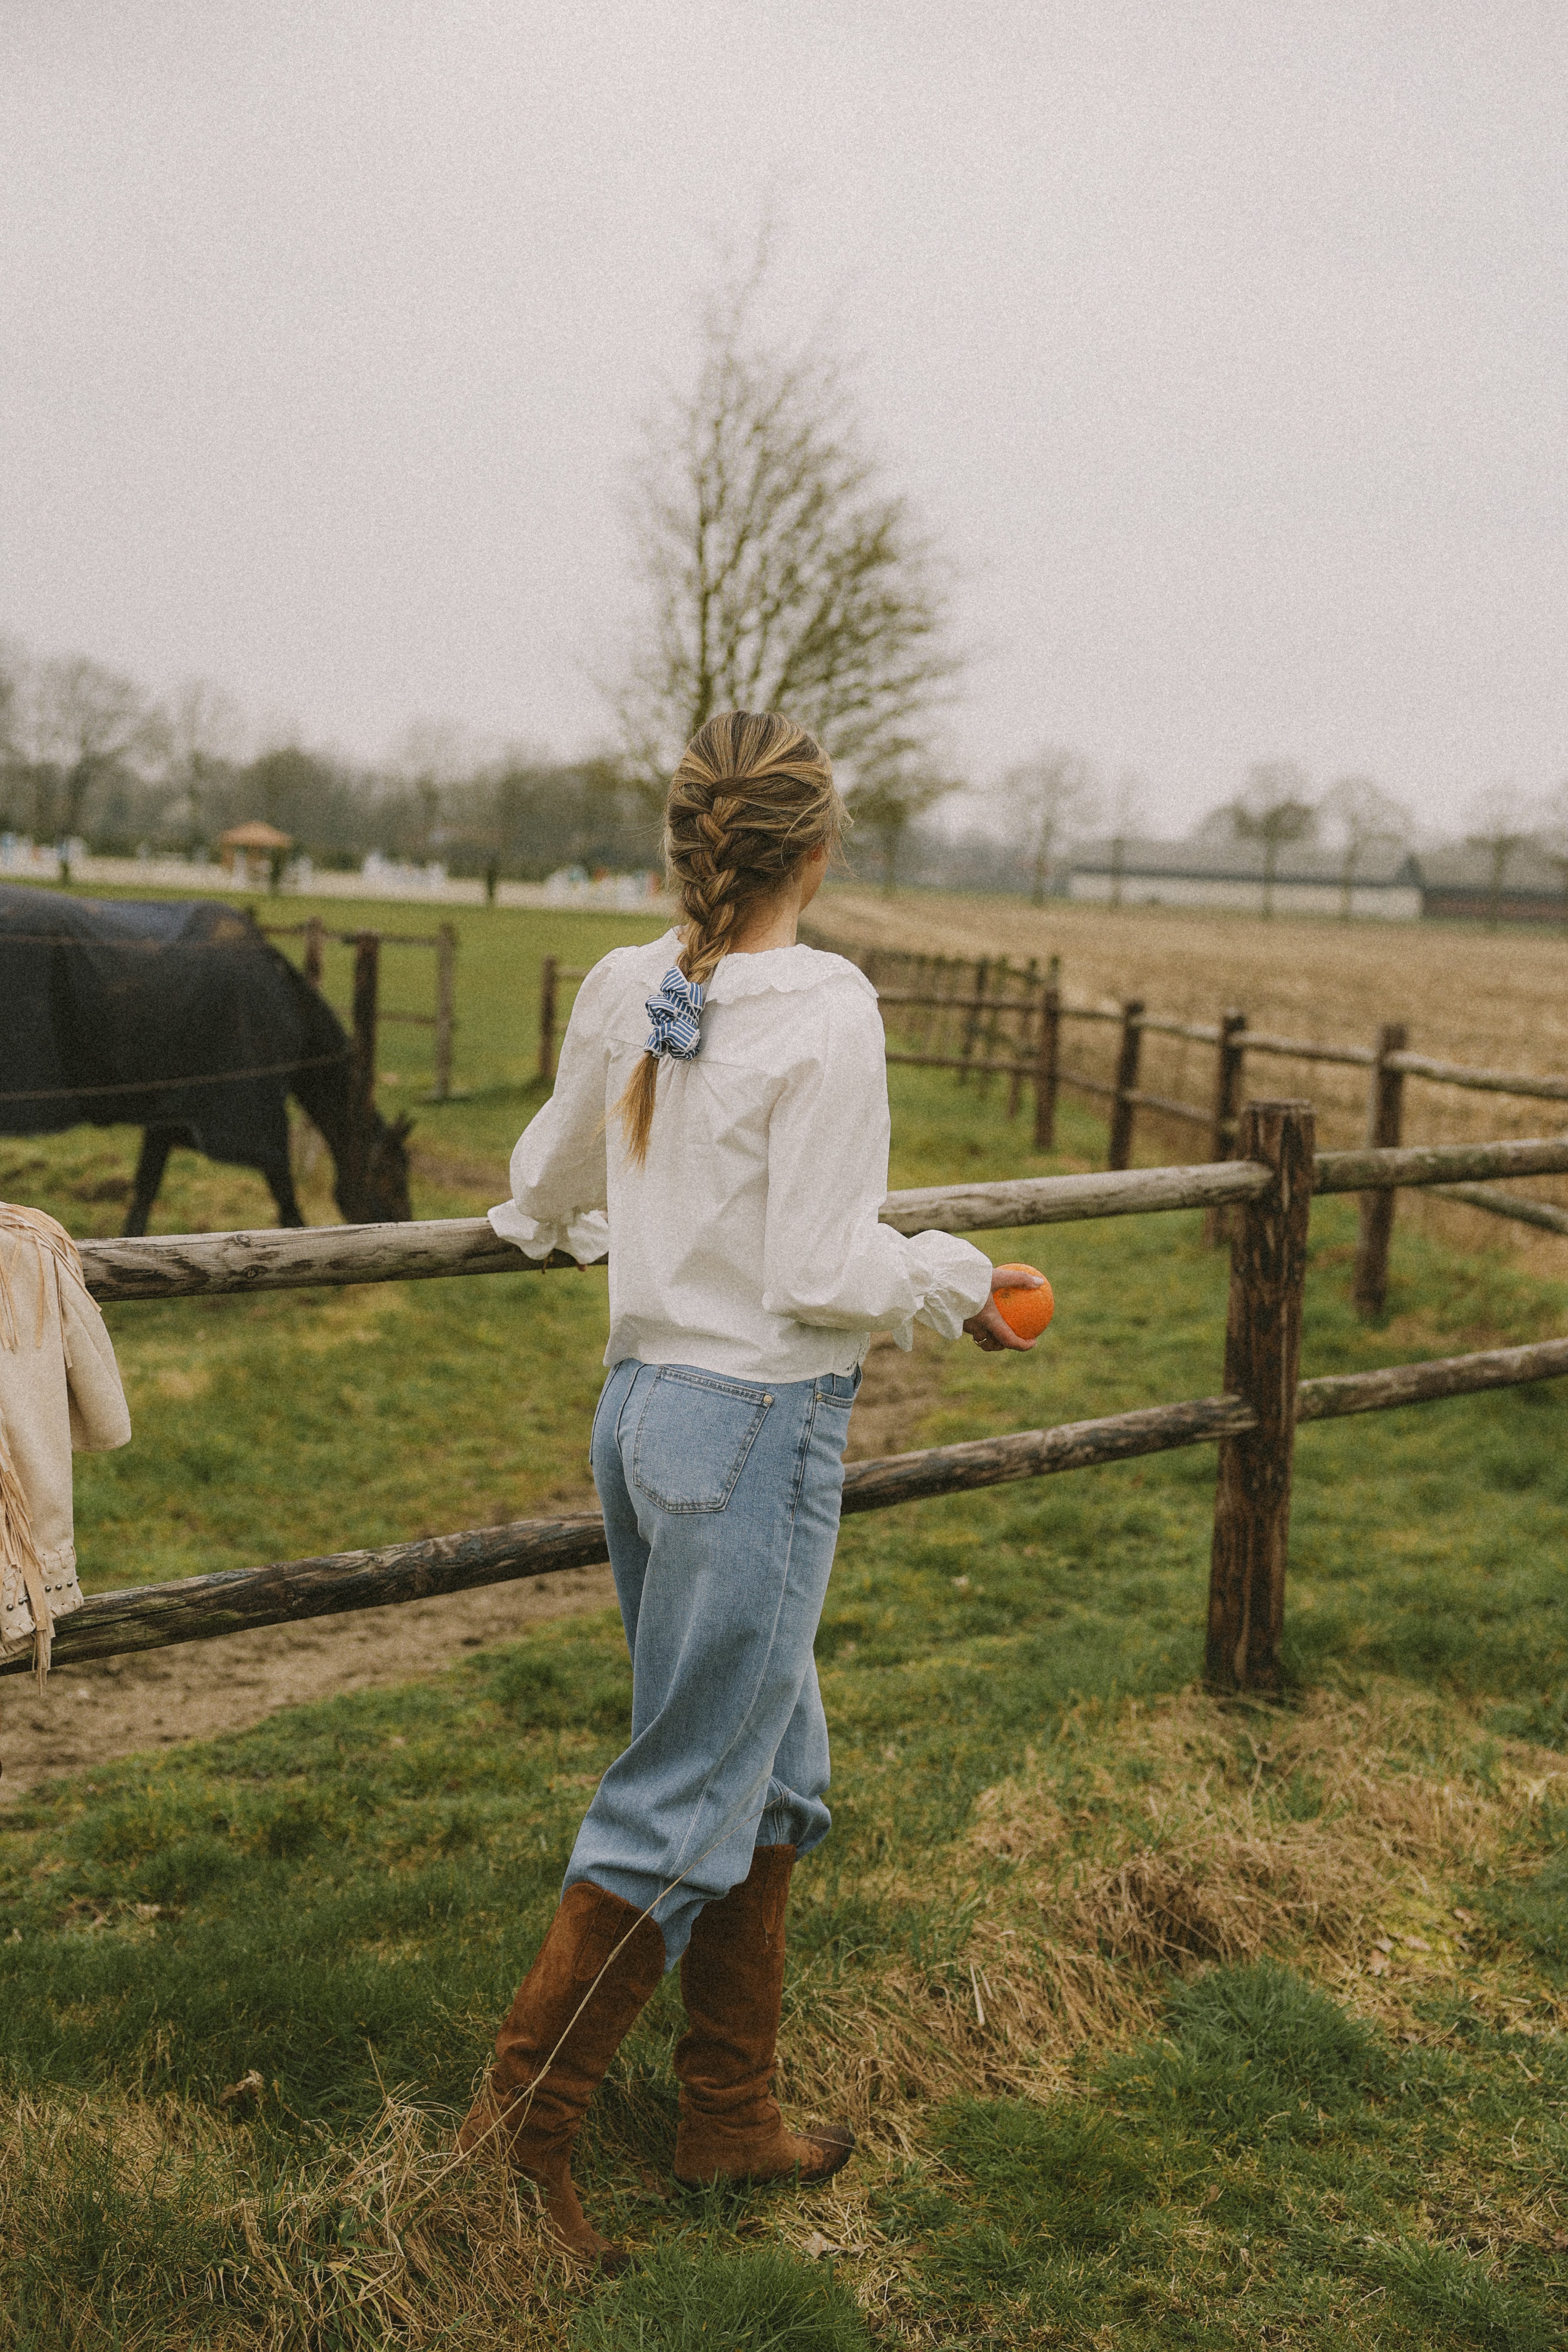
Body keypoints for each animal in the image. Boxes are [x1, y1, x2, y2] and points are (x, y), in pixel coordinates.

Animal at [0, 884, 411, 1242]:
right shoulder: (258, 1124)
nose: (406, 1221)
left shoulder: (167, 1117)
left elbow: (145, 1191)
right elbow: (287, 1203)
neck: (284, 1001)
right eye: (391, 1176)